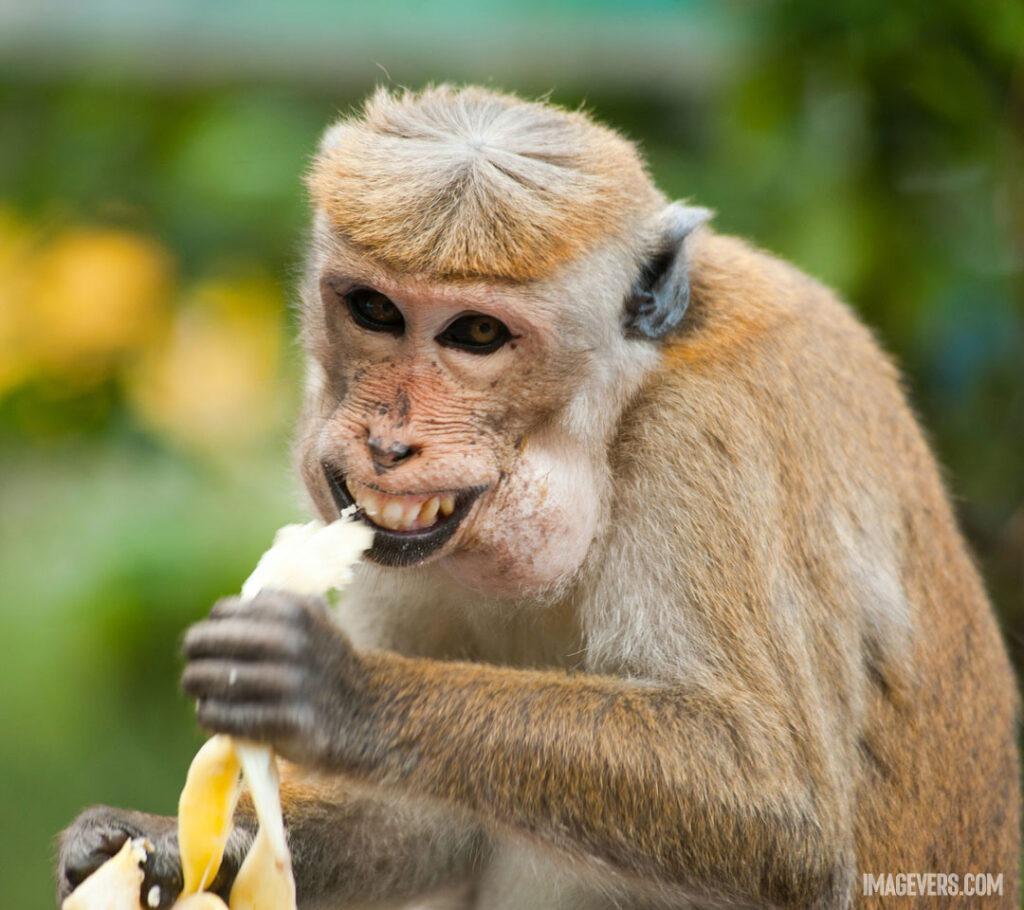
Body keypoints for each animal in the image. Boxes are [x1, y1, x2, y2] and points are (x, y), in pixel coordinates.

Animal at [57, 85, 1020, 909]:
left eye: (477, 333)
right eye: (375, 310)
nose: (387, 444)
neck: (616, 411)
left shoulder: (707, 444)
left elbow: (780, 805)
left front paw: (338, 689)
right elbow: (427, 817)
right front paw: (155, 843)